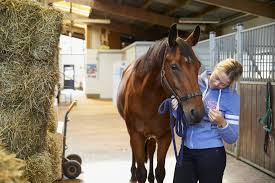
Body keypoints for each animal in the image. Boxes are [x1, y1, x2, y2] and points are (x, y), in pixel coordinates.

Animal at [116, 24, 205, 183]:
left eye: (198, 65)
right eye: (174, 66)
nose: (197, 112)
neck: (148, 98)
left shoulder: (165, 137)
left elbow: (160, 172)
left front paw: (153, 175)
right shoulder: (137, 136)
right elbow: (141, 172)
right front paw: (137, 174)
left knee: (151, 149)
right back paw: (132, 174)